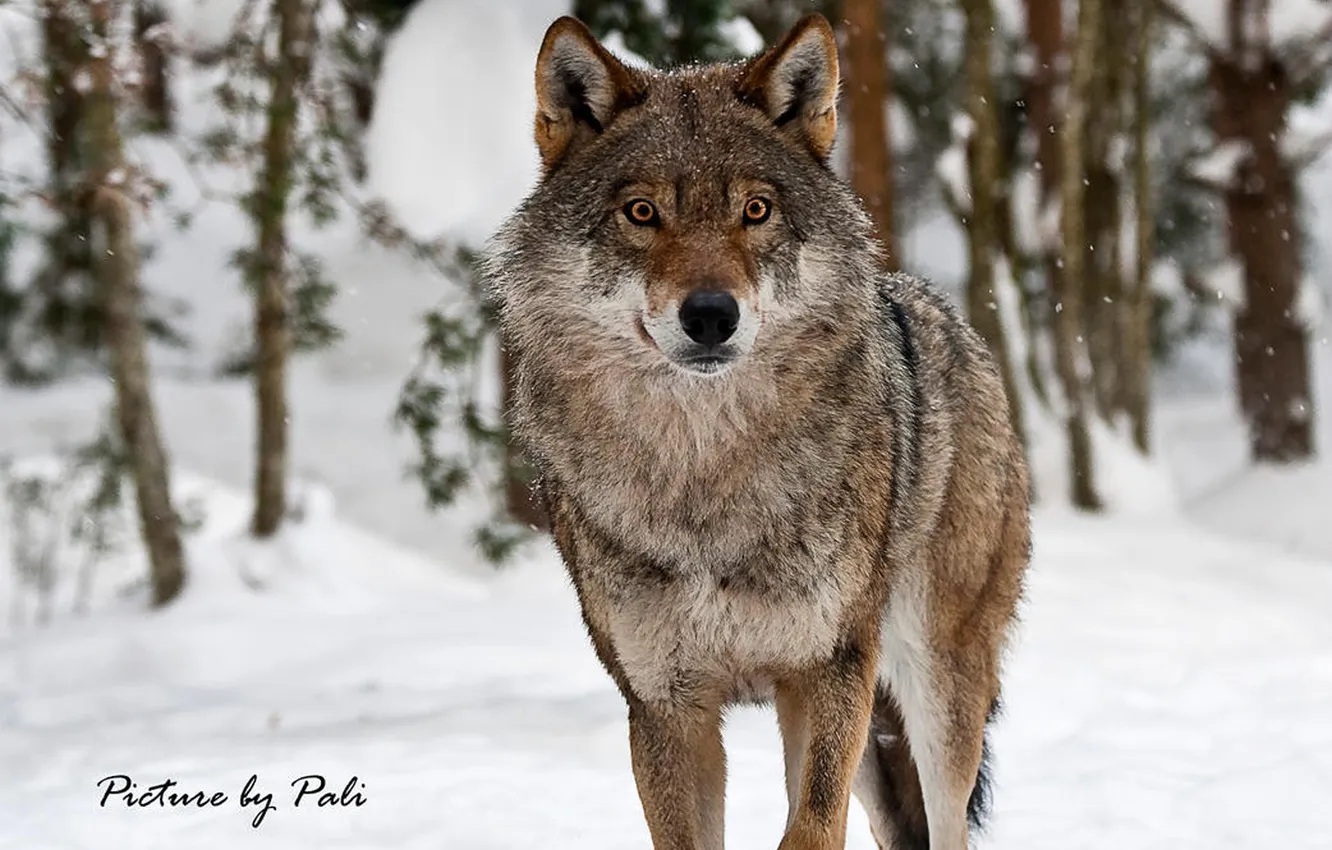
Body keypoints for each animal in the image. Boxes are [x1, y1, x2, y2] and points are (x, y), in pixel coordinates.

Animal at [483, 13, 1030, 850]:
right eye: (642, 213)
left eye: (756, 210)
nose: (711, 315)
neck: (705, 478)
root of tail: (935, 306)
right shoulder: (665, 706)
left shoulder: (825, 671)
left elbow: (809, 828)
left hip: (934, 687)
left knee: (949, 822)